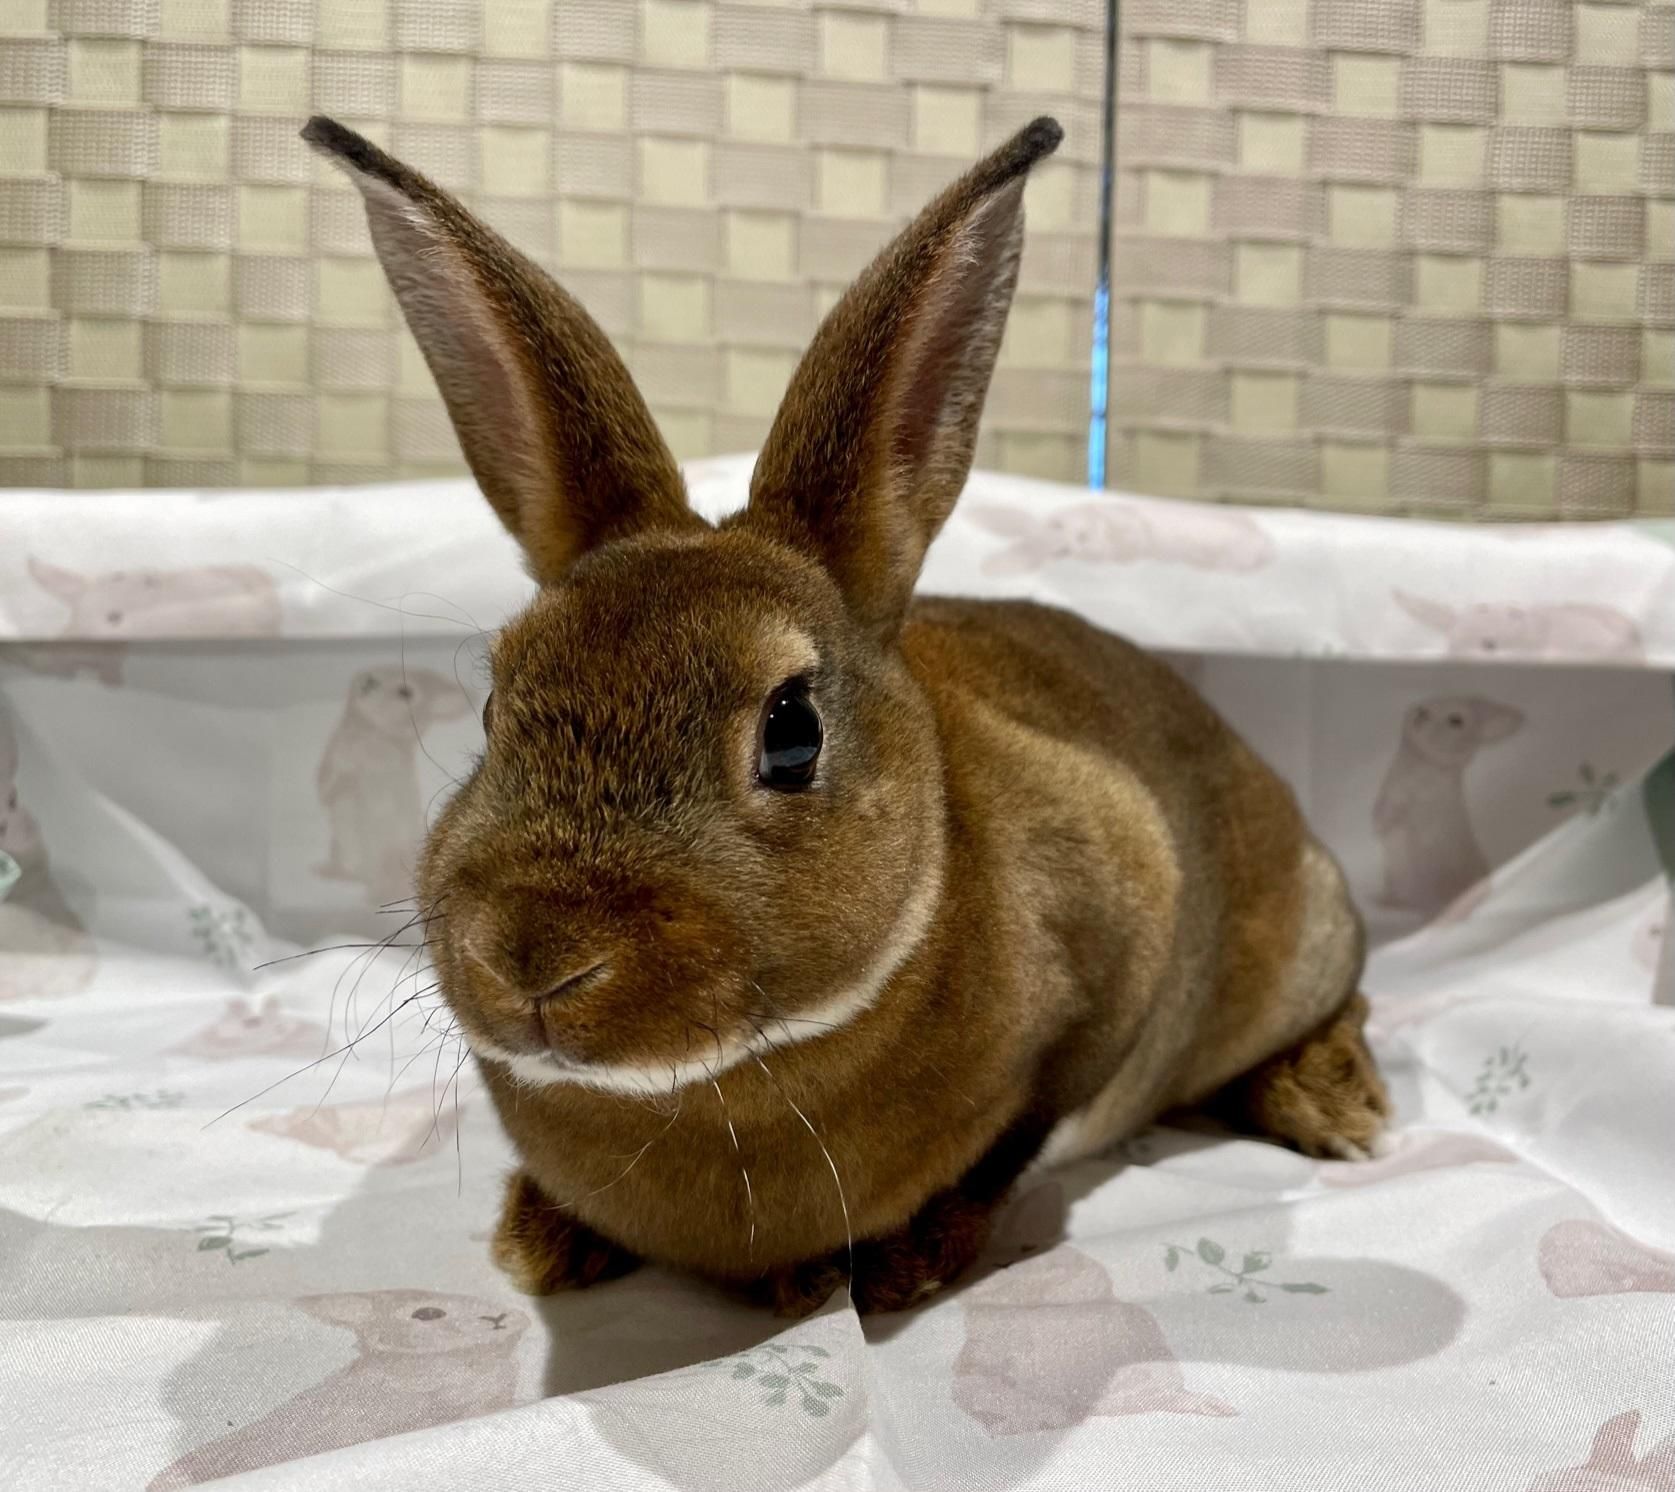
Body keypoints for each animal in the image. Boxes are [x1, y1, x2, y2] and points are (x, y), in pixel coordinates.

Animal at [315, 666, 471, 906]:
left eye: (405, 692)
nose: (368, 680)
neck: (370, 730)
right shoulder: (334, 760)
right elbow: (329, 783)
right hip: (341, 847)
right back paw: (330, 871)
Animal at [1374, 697, 1524, 918]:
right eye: (1428, 704)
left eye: (1456, 720)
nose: (1421, 713)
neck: (1425, 761)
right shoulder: (1389, 794)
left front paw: (1395, 822)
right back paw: (1386, 902)